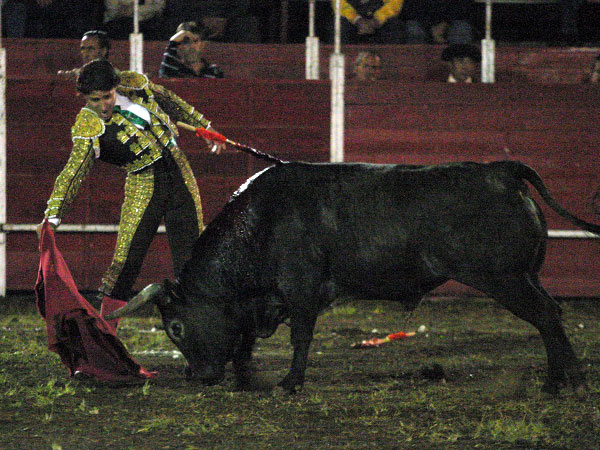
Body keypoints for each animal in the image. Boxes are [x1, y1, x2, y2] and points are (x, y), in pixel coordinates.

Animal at [107, 160, 600, 394]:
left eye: (175, 326)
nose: (199, 375)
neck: (261, 222)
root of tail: (502, 170)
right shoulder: (264, 301)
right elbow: (245, 336)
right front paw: (247, 376)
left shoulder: (300, 290)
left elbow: (300, 336)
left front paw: (290, 383)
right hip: (524, 276)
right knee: (552, 314)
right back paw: (563, 380)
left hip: (505, 279)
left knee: (545, 317)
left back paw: (564, 382)